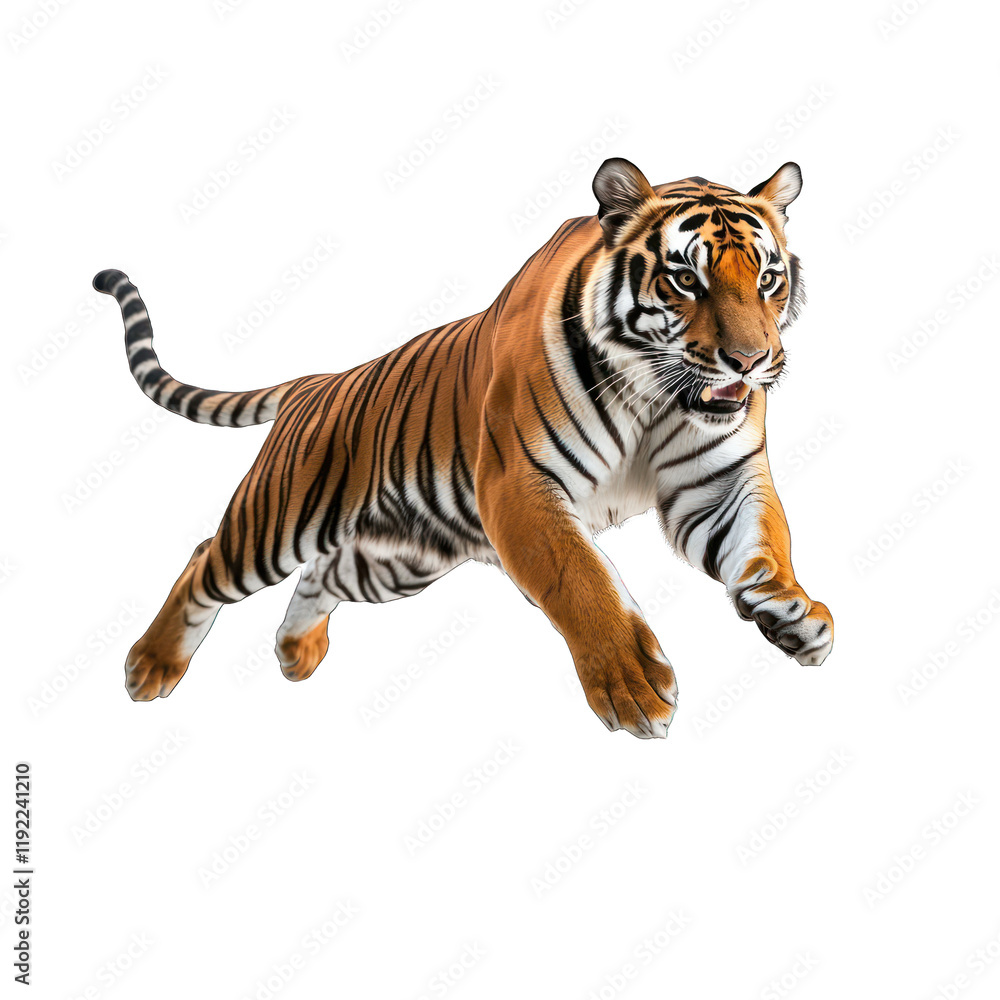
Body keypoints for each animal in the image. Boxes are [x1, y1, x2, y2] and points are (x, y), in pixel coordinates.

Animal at [93, 156, 833, 739]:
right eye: (686, 279)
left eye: (767, 279)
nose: (751, 362)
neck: (655, 396)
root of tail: (315, 382)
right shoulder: (522, 485)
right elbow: (581, 581)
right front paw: (632, 686)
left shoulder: (721, 482)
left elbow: (764, 543)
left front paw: (795, 614)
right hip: (278, 521)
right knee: (204, 561)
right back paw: (149, 667)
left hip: (399, 561)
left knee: (322, 574)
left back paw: (295, 650)